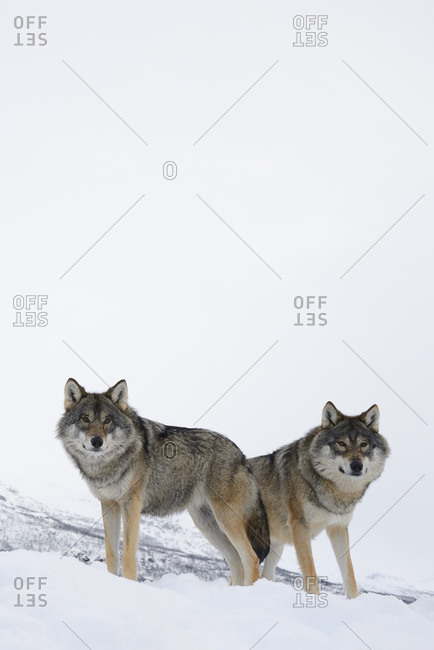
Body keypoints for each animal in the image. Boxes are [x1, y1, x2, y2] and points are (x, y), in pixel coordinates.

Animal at [56, 378, 269, 585]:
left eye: (107, 420)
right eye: (85, 419)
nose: (97, 441)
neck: (106, 465)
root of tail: (241, 456)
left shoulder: (131, 505)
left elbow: (128, 555)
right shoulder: (109, 505)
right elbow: (111, 555)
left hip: (226, 520)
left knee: (250, 558)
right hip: (207, 524)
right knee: (236, 562)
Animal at [248, 402, 390, 598]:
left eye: (364, 444)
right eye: (341, 443)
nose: (356, 466)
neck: (336, 493)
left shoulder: (338, 528)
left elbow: (349, 572)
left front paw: (354, 600)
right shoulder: (300, 527)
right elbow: (310, 570)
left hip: (275, 548)